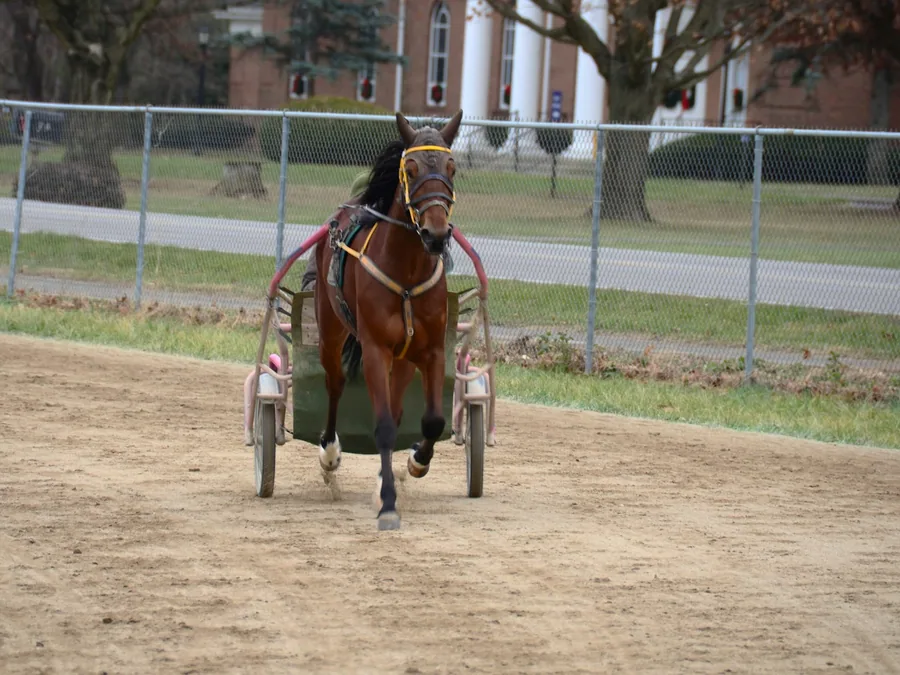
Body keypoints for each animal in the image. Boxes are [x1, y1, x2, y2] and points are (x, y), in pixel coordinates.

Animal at [313, 110, 463, 531]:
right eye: (410, 170)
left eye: (452, 168)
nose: (436, 233)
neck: (407, 275)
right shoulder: (376, 349)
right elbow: (381, 425)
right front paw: (388, 504)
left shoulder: (430, 350)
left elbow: (432, 420)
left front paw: (414, 462)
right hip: (331, 330)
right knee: (335, 384)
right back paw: (329, 454)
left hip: (404, 357)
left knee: (396, 406)